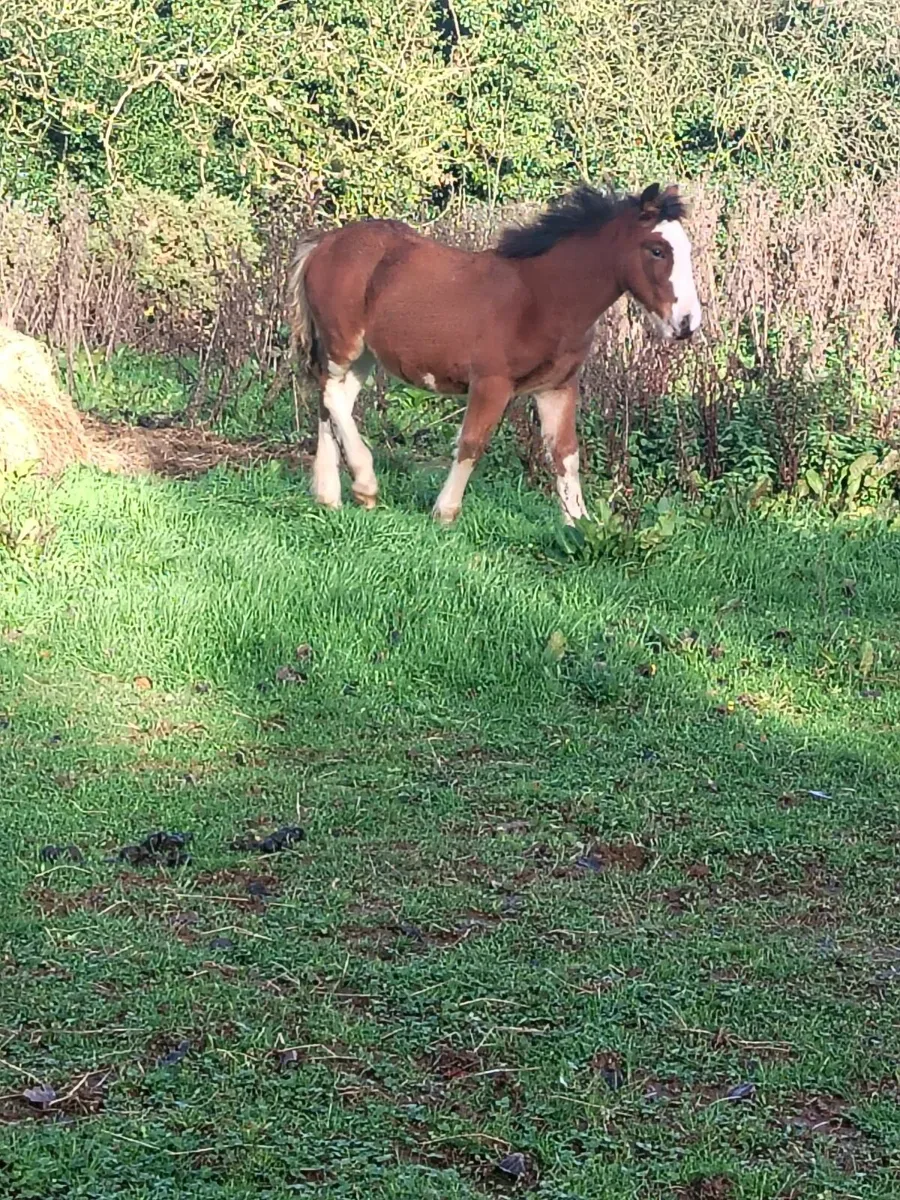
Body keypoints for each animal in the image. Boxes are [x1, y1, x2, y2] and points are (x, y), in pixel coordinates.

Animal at [287, 183, 702, 525]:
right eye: (657, 250)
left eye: (687, 250)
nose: (688, 322)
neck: (544, 297)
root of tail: (322, 243)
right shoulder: (491, 382)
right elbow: (472, 442)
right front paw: (444, 513)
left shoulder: (557, 387)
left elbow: (565, 454)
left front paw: (579, 526)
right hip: (344, 343)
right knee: (329, 394)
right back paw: (364, 484)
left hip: (364, 357)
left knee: (331, 402)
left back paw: (329, 496)